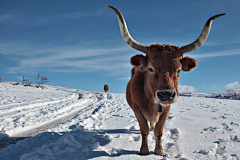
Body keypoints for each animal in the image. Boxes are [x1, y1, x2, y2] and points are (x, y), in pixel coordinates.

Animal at [109, 5, 225, 156]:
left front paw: (159, 150)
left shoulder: (166, 109)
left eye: (179, 70)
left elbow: (159, 130)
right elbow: (144, 130)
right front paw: (144, 150)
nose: (166, 94)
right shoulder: (137, 110)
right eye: (150, 68)